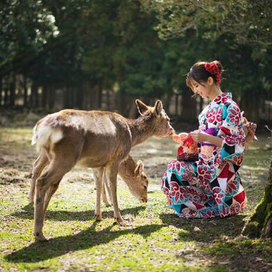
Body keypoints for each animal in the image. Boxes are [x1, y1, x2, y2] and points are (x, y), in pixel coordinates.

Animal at [30, 99, 174, 240]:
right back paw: (39, 233)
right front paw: (119, 219)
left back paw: (40, 222)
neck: (131, 135)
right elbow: (113, 187)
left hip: (52, 156)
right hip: (65, 157)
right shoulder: (114, 159)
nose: (172, 130)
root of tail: (41, 128)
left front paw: (98, 216)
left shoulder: (98, 164)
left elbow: (98, 186)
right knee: (42, 181)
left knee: (48, 181)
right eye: (167, 119)